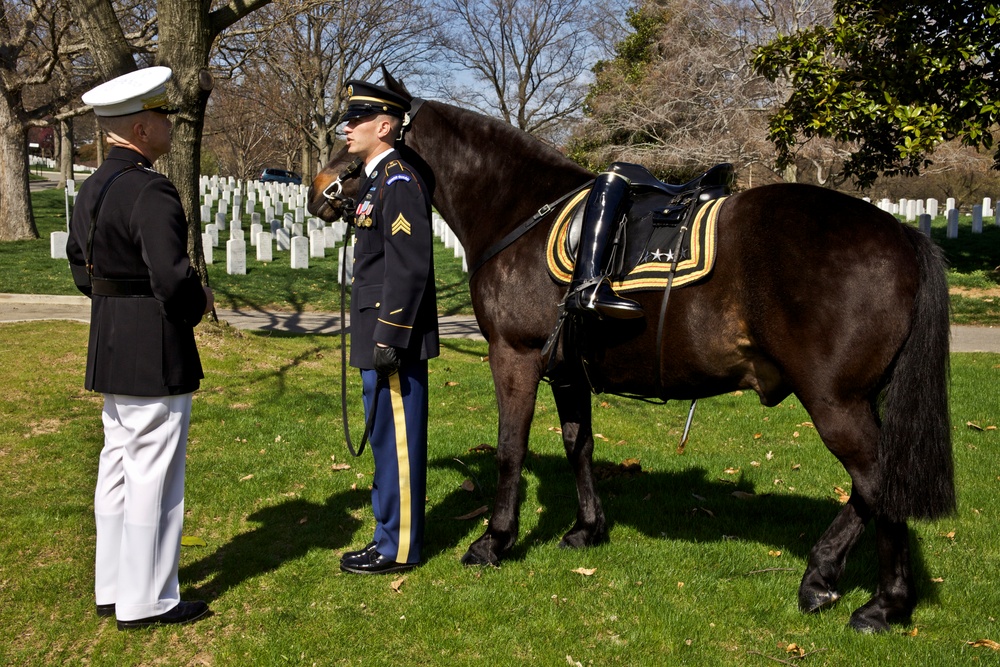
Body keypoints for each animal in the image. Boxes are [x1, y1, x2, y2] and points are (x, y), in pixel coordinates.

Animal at [308, 74, 956, 636]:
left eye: (353, 125)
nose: (319, 189)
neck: (521, 211)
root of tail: (901, 234)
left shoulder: (515, 357)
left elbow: (511, 448)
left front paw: (495, 540)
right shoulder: (566, 371)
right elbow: (579, 444)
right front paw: (588, 528)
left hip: (834, 401)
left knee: (878, 482)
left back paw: (871, 598)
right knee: (877, 488)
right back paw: (845, 583)